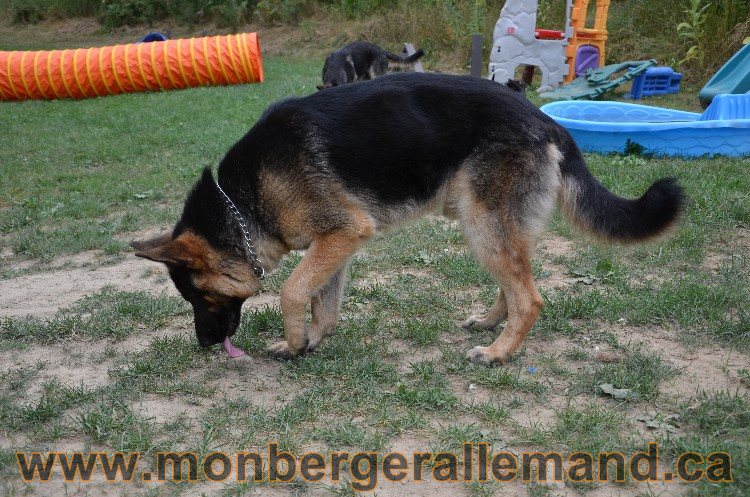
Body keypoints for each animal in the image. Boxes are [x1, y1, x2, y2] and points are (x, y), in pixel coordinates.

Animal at [131, 71, 688, 364]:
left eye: (200, 298)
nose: (205, 345)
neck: (241, 201)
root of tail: (547, 120)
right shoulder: (335, 243)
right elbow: (323, 302)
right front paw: (310, 342)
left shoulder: (345, 232)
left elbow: (292, 289)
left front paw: (292, 342)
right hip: (484, 225)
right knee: (515, 284)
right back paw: (490, 324)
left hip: (483, 225)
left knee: (530, 297)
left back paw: (499, 352)